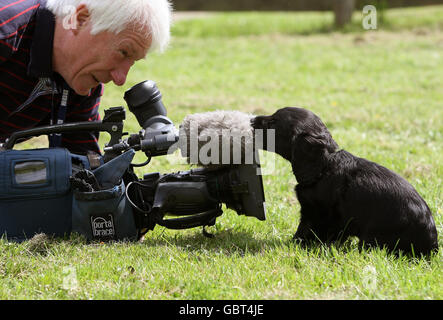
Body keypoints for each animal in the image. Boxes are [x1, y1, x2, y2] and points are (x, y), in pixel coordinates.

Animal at [253, 107, 440, 255]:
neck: (324, 165)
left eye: (273, 122)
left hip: (371, 237)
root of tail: (433, 246)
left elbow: (304, 232)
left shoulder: (316, 213)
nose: (252, 120)